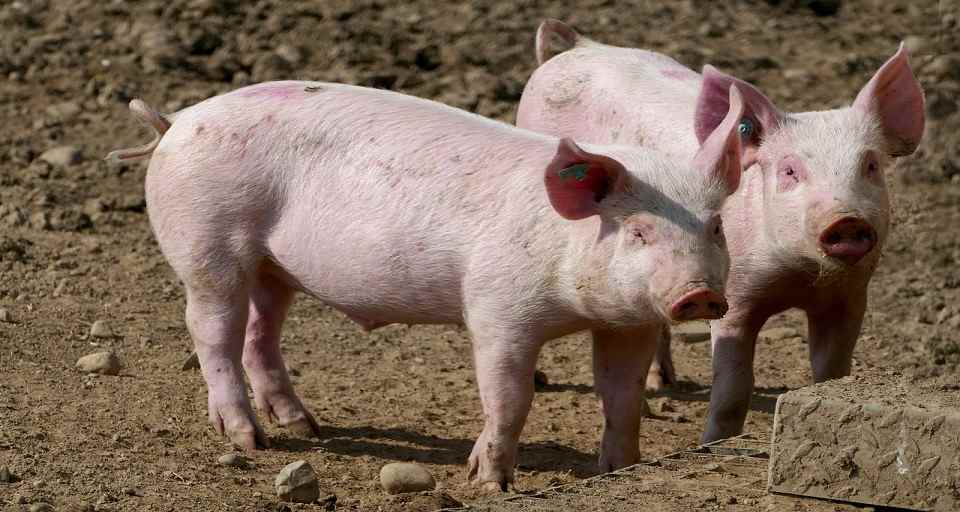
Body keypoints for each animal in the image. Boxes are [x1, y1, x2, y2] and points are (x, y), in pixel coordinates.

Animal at [106, 80, 745, 488]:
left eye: (715, 226)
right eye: (638, 231)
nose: (699, 294)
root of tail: (176, 122)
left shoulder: (628, 322)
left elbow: (622, 396)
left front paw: (620, 470)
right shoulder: (496, 308)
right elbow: (510, 396)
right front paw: (489, 482)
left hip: (272, 266)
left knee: (260, 333)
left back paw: (305, 426)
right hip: (208, 245)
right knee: (211, 331)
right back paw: (251, 441)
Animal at [517, 20, 925, 443]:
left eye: (871, 165)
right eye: (790, 171)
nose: (846, 218)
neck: (800, 277)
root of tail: (580, 46)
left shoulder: (849, 298)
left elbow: (831, 374)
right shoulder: (735, 297)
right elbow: (732, 388)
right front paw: (712, 442)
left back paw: (663, 384)